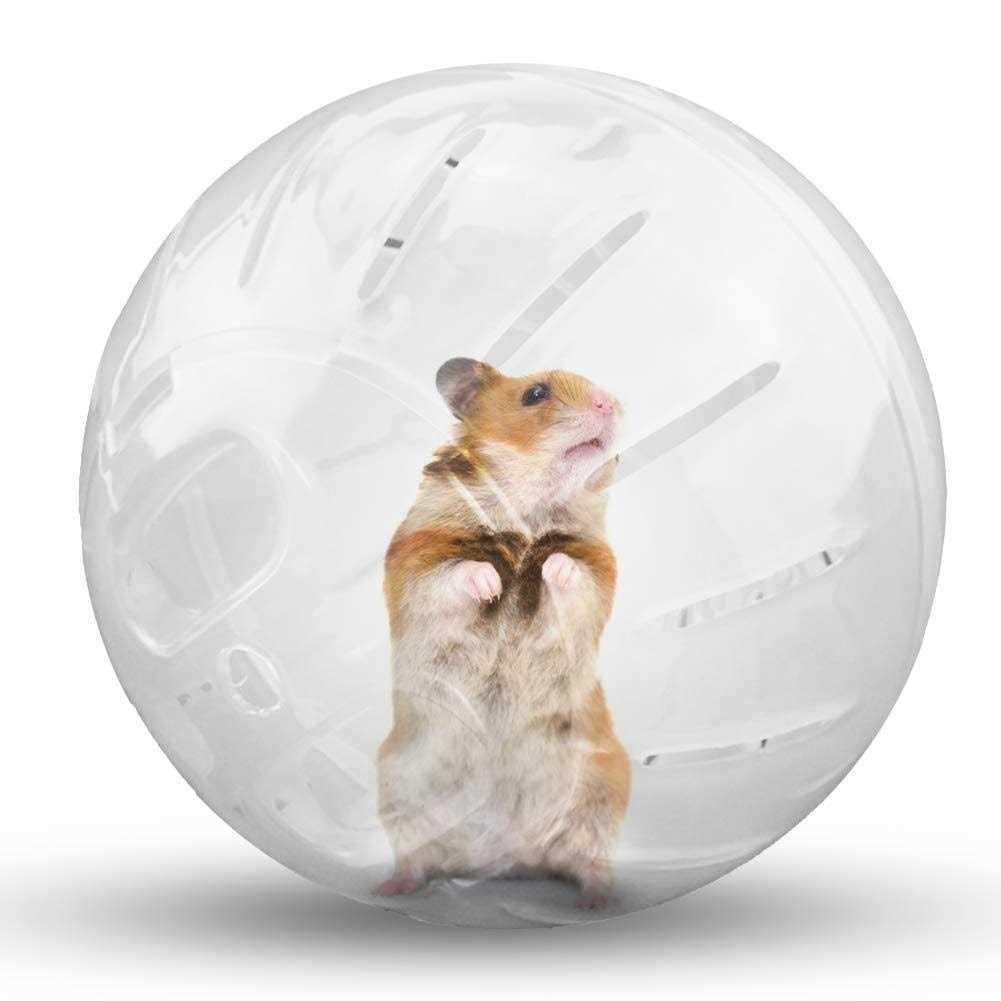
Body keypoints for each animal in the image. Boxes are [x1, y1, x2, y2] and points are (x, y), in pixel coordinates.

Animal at [376, 357, 629, 909]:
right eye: (535, 394)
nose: (610, 402)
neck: (529, 510)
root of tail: (508, 855)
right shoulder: (417, 559)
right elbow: (455, 574)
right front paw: (491, 581)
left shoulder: (597, 570)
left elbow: (570, 574)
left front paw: (549, 568)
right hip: (398, 786)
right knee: (416, 856)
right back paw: (389, 887)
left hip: (603, 788)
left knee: (589, 858)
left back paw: (597, 900)